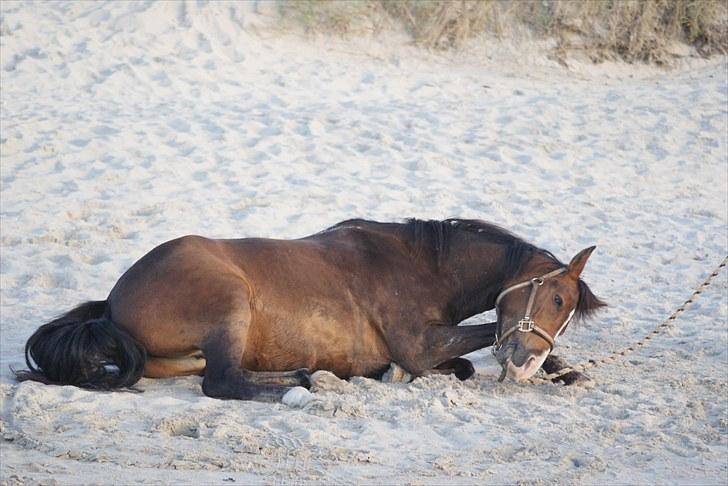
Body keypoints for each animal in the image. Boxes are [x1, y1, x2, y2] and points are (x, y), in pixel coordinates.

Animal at [15, 218, 608, 400]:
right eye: (555, 298)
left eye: (566, 313)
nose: (527, 364)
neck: (421, 263)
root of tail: (113, 301)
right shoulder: (419, 345)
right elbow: (484, 335)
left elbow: (464, 361)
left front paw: (560, 369)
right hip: (228, 303)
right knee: (223, 383)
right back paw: (305, 381)